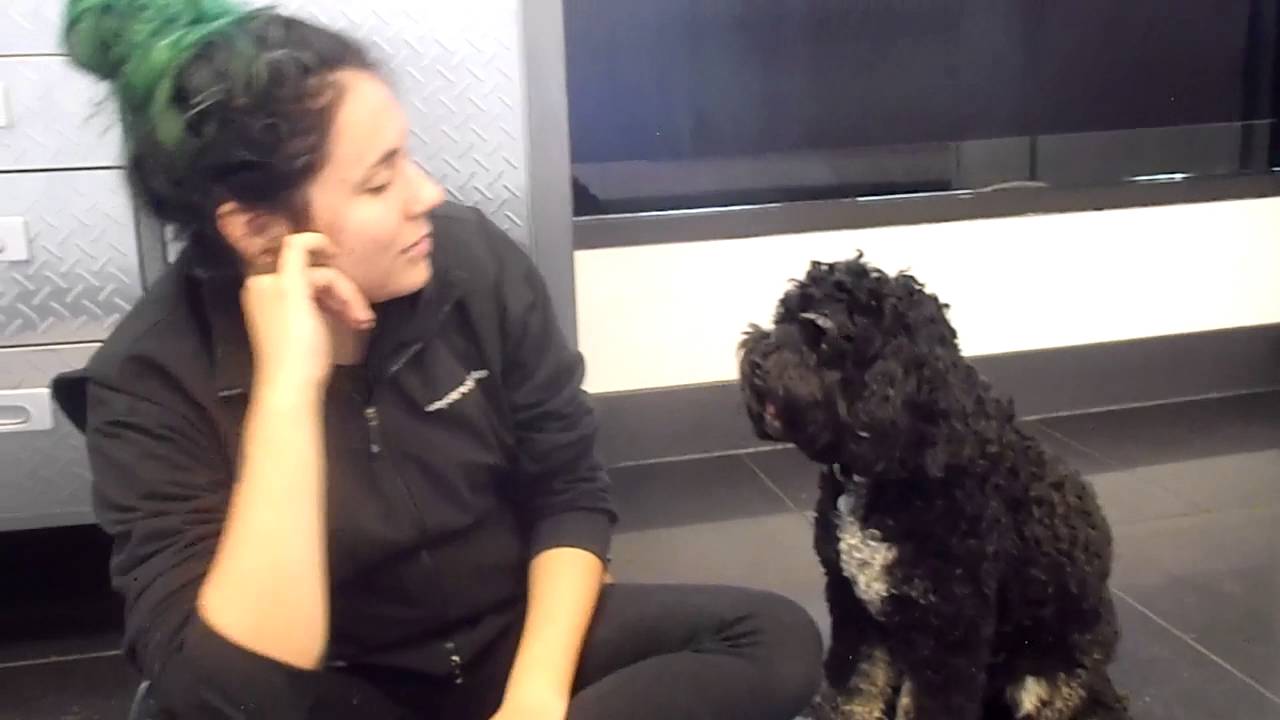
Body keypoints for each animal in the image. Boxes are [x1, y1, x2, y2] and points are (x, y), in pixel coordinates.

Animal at [739, 256, 1130, 720]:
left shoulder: (950, 627)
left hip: (1049, 675)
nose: (755, 359)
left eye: (820, 329)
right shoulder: (856, 607)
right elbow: (854, 687)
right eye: (782, 316)